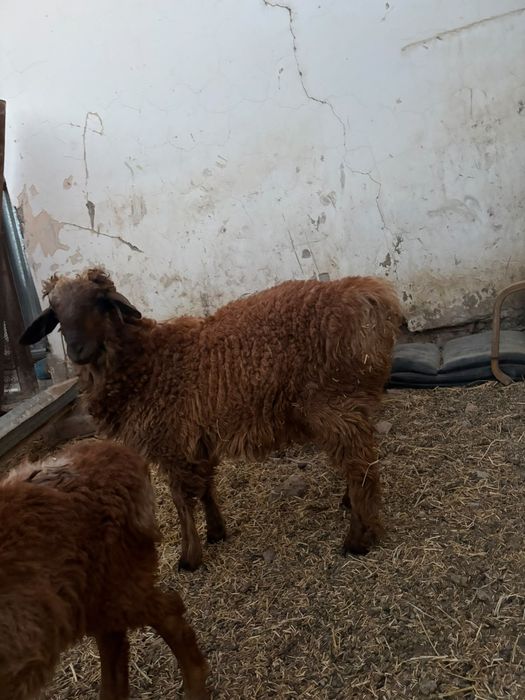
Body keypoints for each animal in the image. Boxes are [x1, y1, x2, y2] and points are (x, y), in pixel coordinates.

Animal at [0, 440, 209, 700]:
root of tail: (110, 451)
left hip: (114, 581)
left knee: (166, 610)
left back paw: (195, 687)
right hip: (85, 595)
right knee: (114, 640)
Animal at [21, 268, 402, 571]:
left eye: (99, 301)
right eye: (56, 311)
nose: (77, 350)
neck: (148, 363)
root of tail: (371, 295)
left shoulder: (171, 440)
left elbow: (180, 499)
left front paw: (189, 557)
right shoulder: (196, 439)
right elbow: (205, 487)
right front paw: (216, 532)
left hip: (333, 402)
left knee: (360, 464)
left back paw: (358, 538)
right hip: (351, 403)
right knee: (360, 460)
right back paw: (350, 505)